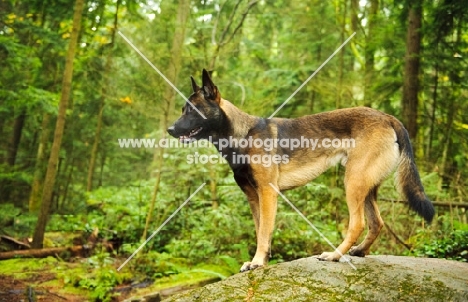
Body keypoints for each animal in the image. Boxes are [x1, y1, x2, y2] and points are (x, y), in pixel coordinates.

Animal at [167, 68, 436, 272]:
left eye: (192, 110)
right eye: (181, 110)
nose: (169, 129)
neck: (242, 135)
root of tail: (388, 117)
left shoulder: (268, 193)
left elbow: (263, 232)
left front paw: (257, 262)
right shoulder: (254, 198)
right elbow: (261, 231)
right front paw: (262, 261)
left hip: (353, 182)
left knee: (357, 223)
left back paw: (335, 255)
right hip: (366, 186)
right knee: (376, 222)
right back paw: (359, 251)